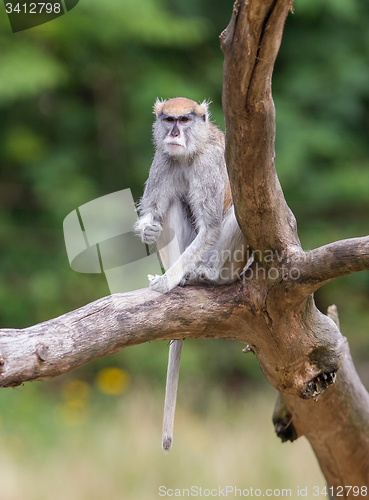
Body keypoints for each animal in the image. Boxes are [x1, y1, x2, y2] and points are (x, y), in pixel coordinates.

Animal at [134, 96, 247, 454]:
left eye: (184, 120)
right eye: (168, 119)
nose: (173, 133)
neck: (191, 151)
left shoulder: (208, 166)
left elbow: (211, 225)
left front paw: (168, 281)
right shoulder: (164, 159)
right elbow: (155, 210)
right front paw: (148, 228)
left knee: (240, 214)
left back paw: (207, 276)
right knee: (171, 203)